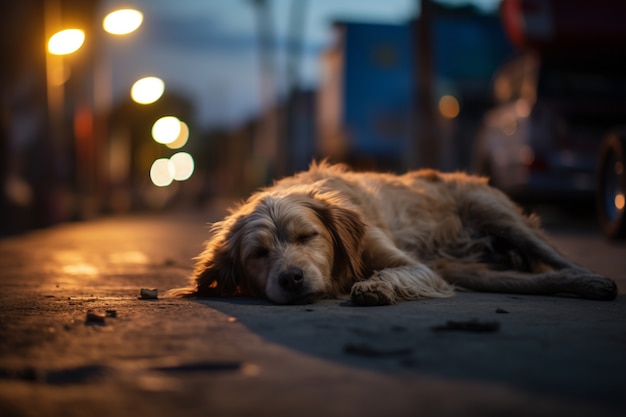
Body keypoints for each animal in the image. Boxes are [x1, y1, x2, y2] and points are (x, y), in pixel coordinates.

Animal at [168, 161, 616, 304]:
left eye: (308, 237)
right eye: (258, 255)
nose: (292, 278)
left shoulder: (414, 266)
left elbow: (390, 272)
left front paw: (373, 286)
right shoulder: (435, 270)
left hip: (497, 213)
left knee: (560, 258)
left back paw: (595, 279)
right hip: (468, 269)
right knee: (538, 278)